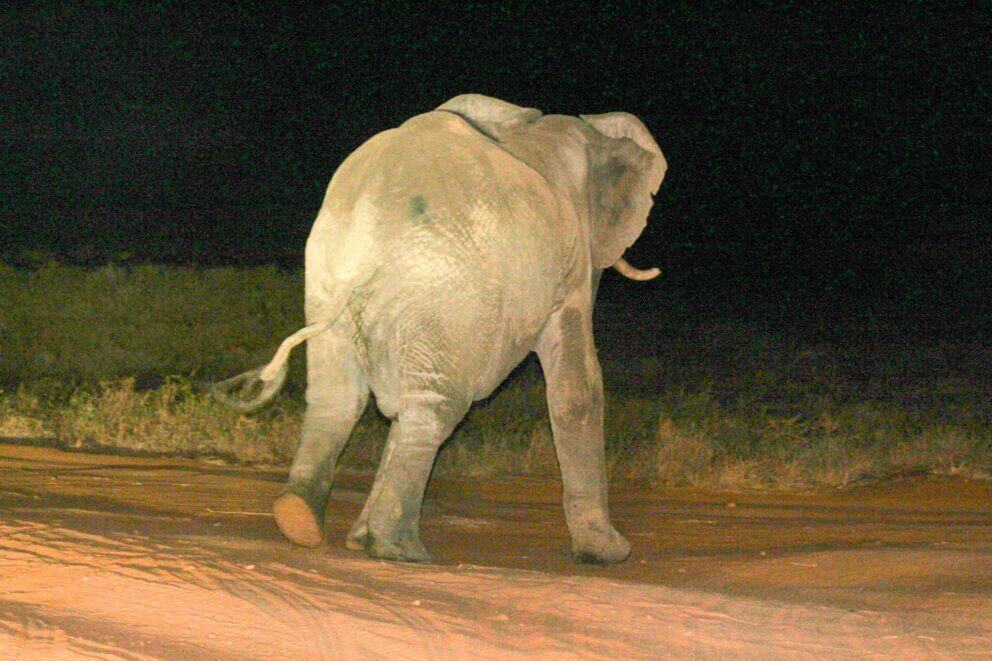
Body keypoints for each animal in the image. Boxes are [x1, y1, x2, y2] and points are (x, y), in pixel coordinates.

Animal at [212, 94, 666, 564]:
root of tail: (369, 220)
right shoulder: (573, 261)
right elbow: (576, 387)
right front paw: (610, 554)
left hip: (333, 273)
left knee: (340, 397)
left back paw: (301, 520)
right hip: (443, 285)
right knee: (436, 404)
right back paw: (398, 549)